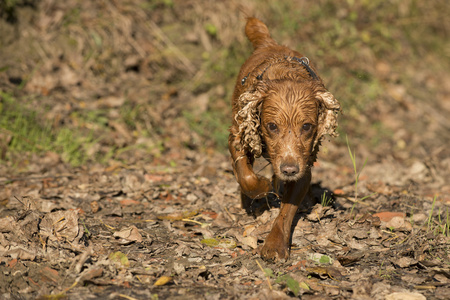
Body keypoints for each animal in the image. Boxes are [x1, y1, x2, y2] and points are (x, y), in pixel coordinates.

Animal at [229, 17, 342, 260]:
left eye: (307, 126)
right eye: (272, 126)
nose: (289, 169)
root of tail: (269, 42)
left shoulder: (303, 166)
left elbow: (287, 210)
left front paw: (275, 244)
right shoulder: (239, 133)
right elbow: (246, 176)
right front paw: (262, 187)